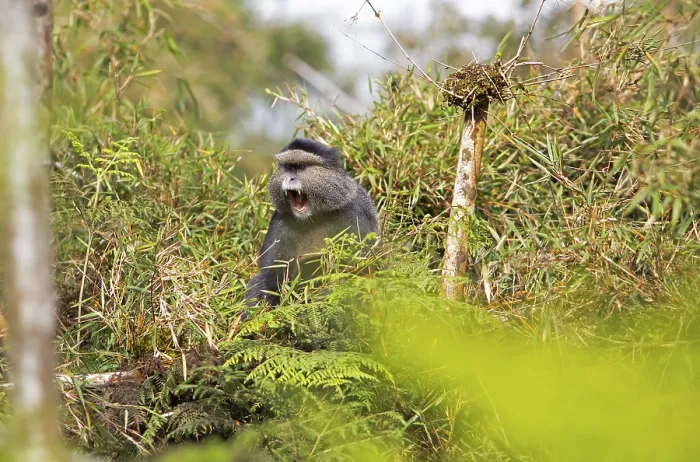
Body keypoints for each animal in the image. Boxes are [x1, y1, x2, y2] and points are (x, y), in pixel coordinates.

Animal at [243, 137, 379, 308]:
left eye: (301, 167)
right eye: (288, 168)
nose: (289, 178)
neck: (315, 216)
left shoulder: (354, 213)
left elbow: (357, 266)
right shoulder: (281, 219)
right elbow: (271, 270)